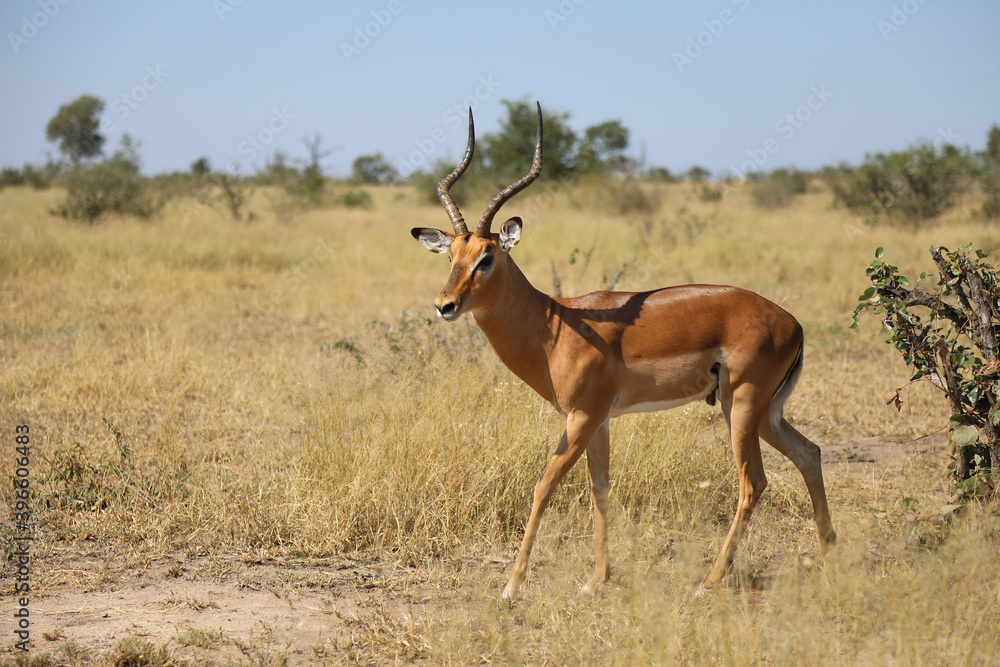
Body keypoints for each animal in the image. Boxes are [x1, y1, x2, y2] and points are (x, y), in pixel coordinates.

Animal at [411, 103, 836, 601]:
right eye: (450, 256)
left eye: (487, 257)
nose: (444, 305)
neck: (553, 326)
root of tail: (793, 322)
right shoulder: (598, 421)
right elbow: (600, 488)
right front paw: (596, 579)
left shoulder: (581, 416)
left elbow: (543, 486)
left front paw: (512, 586)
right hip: (764, 411)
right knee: (810, 453)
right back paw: (831, 556)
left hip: (743, 405)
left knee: (754, 482)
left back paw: (709, 582)